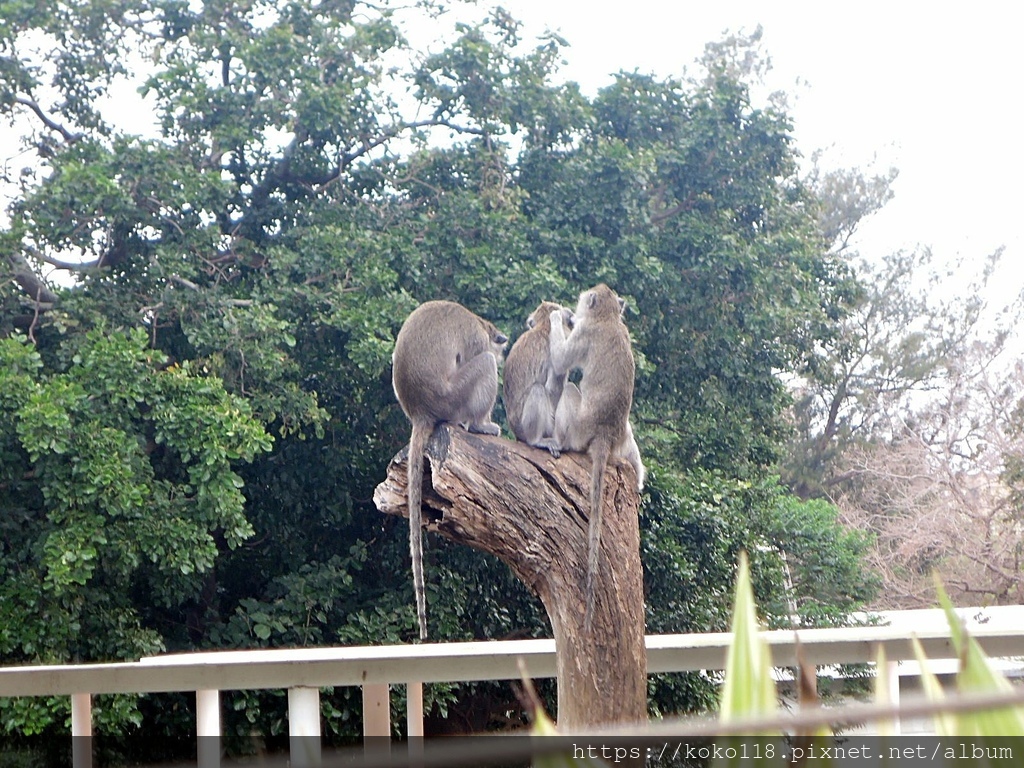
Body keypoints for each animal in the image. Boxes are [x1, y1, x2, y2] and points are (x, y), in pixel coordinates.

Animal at [389, 301, 505, 643]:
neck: (480, 322)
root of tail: (421, 411)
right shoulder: (477, 339)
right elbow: (483, 355)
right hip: (453, 399)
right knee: (484, 365)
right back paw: (479, 424)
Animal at [503, 303, 577, 448]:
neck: (544, 327)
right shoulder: (555, 353)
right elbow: (552, 389)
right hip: (524, 426)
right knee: (538, 389)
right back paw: (536, 440)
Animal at [532, 286, 643, 626]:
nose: (575, 309)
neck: (608, 318)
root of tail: (605, 434)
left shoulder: (585, 333)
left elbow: (561, 361)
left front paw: (557, 317)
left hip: (580, 428)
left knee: (569, 390)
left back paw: (559, 442)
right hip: (619, 437)